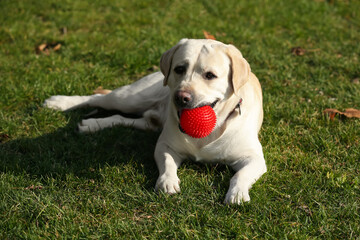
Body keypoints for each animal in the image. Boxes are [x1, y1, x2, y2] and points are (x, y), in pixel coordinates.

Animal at [43, 38, 266, 203]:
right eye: (179, 69)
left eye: (210, 75)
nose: (180, 97)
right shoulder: (165, 145)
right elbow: (167, 163)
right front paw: (167, 181)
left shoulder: (255, 159)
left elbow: (240, 175)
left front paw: (237, 194)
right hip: (130, 98)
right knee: (97, 98)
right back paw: (60, 103)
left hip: (147, 119)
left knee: (122, 119)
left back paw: (92, 125)